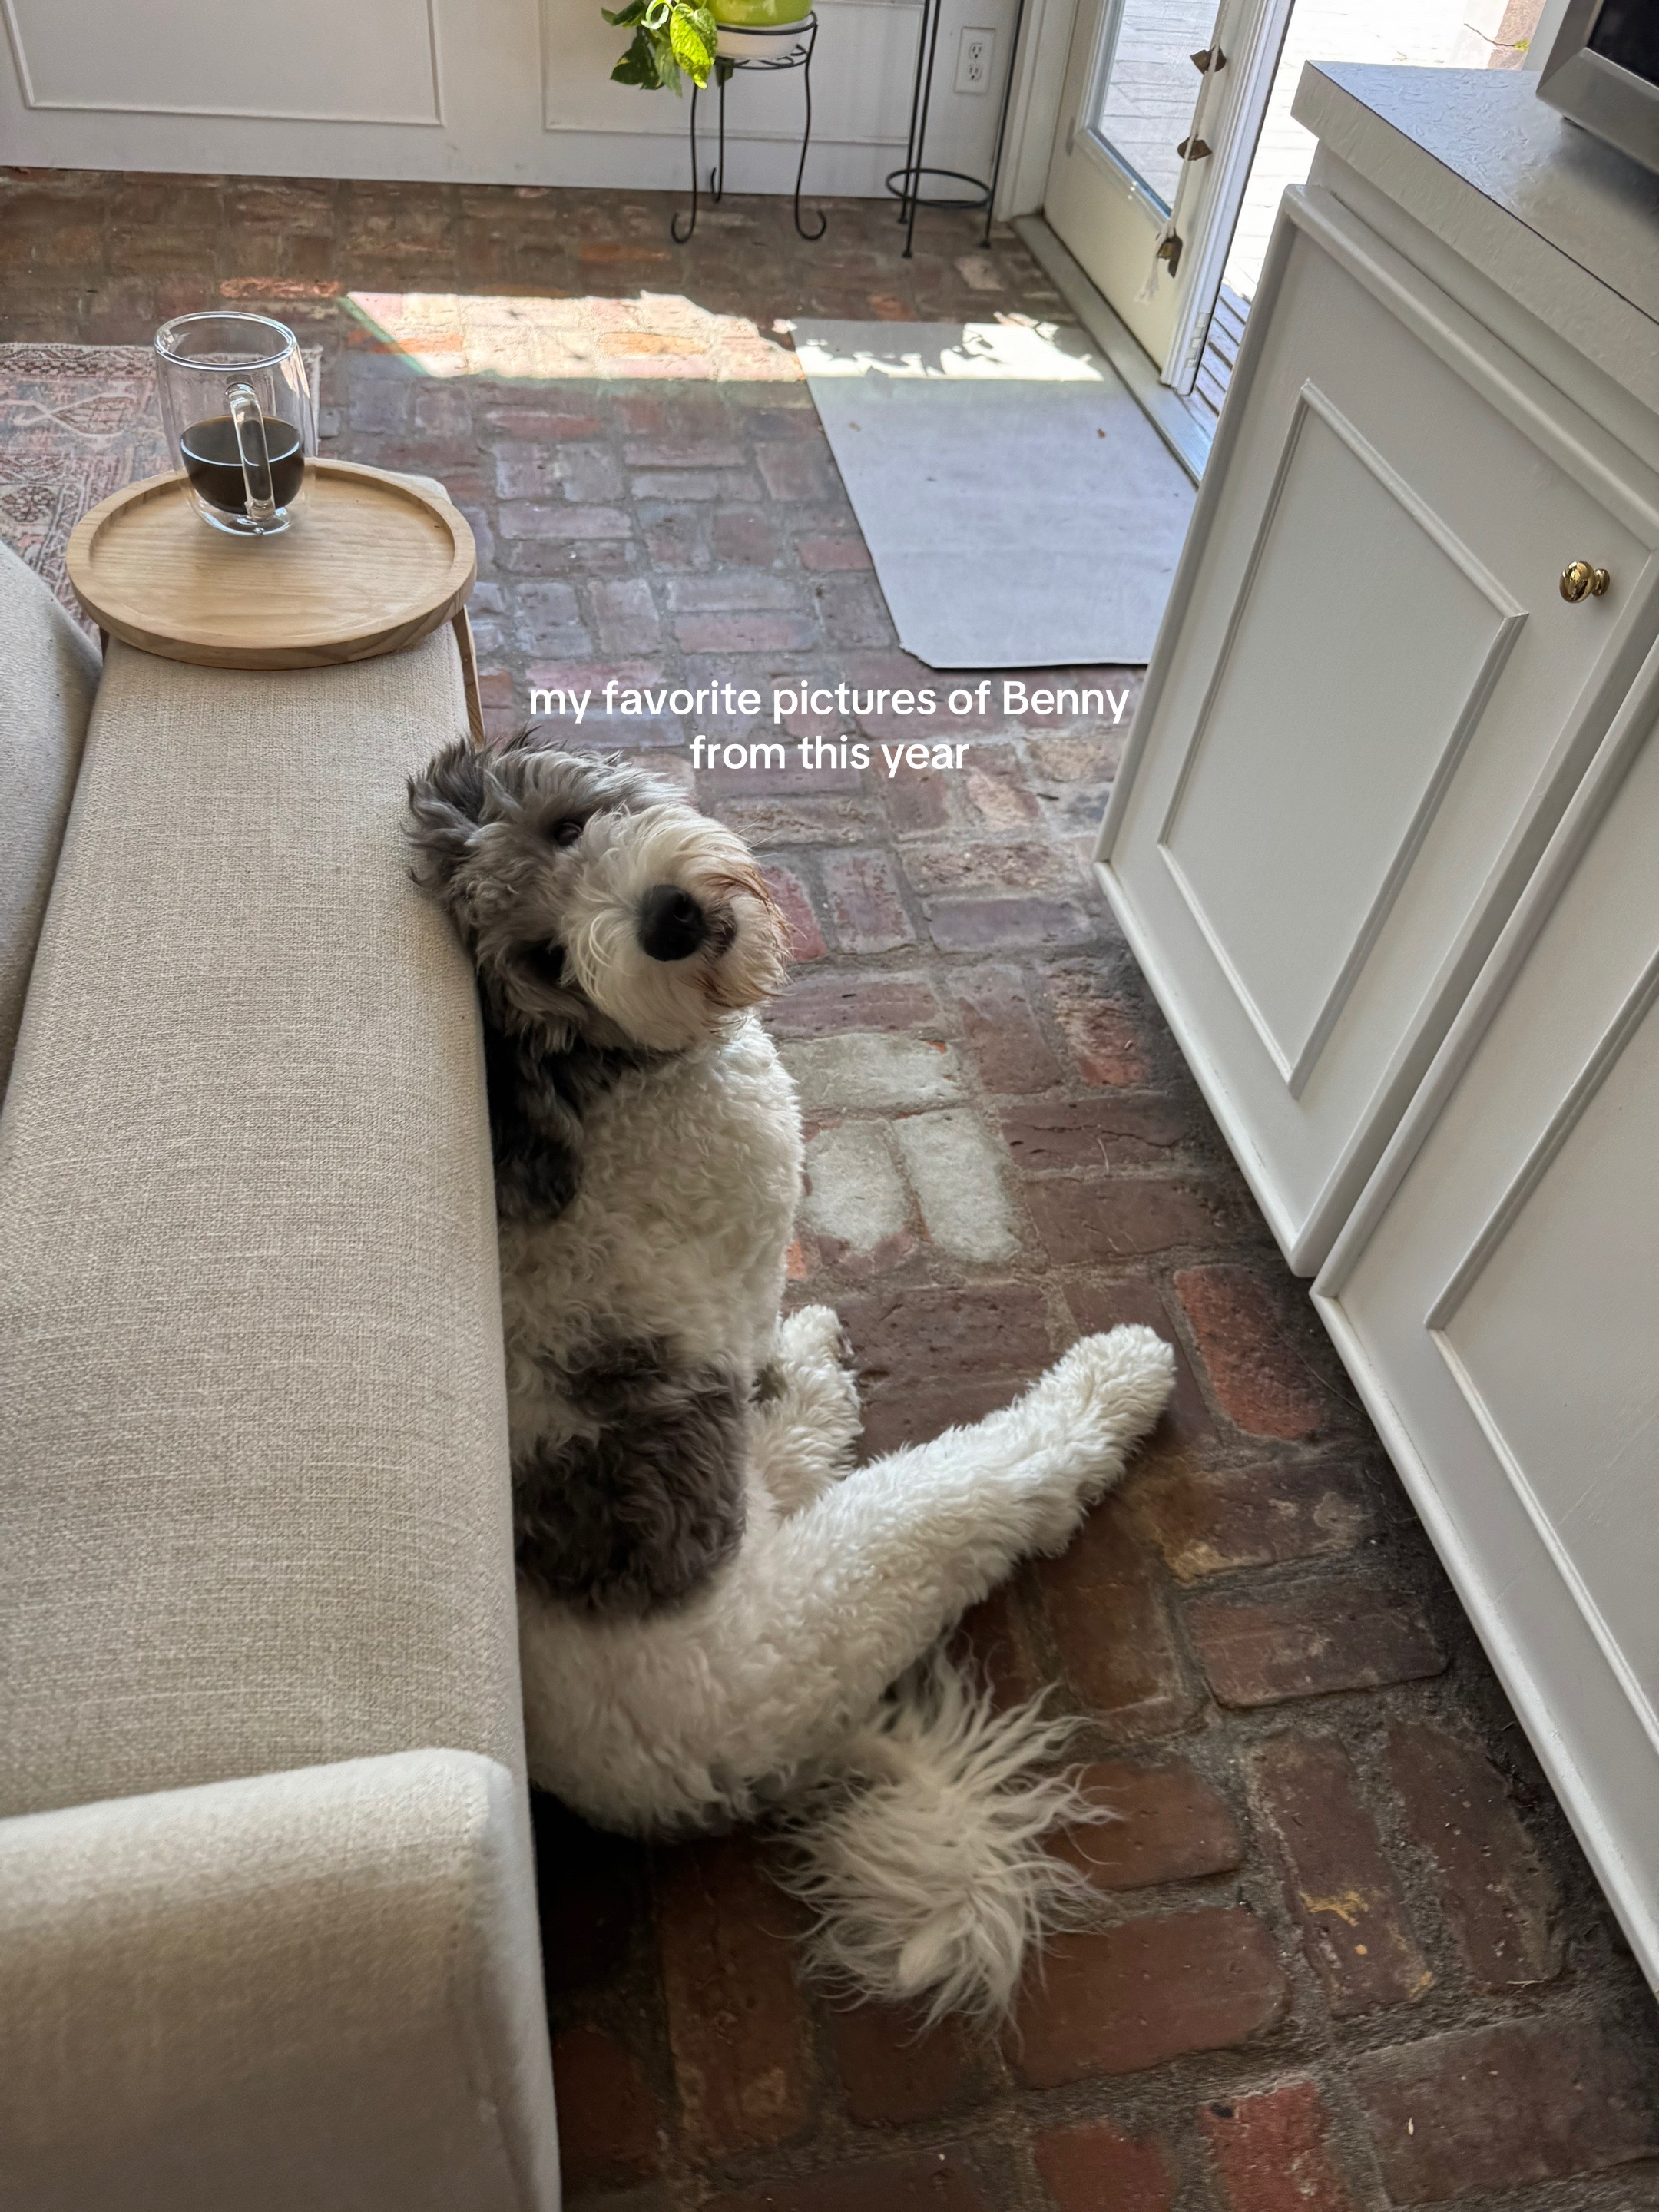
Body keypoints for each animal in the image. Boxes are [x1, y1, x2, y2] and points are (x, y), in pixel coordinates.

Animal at [407, 729, 1175, 2021]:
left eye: (566, 829)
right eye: (546, 961)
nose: (666, 920)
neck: (610, 1084)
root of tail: (682, 1786)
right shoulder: (752, 1245)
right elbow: (752, 1331)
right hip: (842, 1587)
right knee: (972, 1485)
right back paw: (1098, 1386)